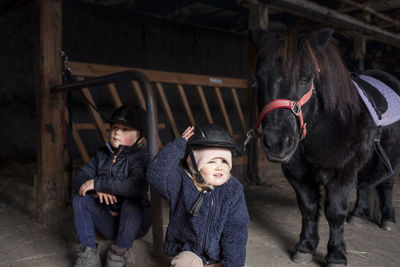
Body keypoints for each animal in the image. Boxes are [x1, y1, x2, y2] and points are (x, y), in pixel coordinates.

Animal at [250, 26, 400, 266]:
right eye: (258, 77)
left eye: (307, 78)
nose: (276, 143)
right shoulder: (298, 175)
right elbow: (309, 209)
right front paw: (305, 247)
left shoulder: (343, 174)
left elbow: (335, 212)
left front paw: (337, 254)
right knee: (364, 186)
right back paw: (358, 215)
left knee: (386, 184)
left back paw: (388, 219)